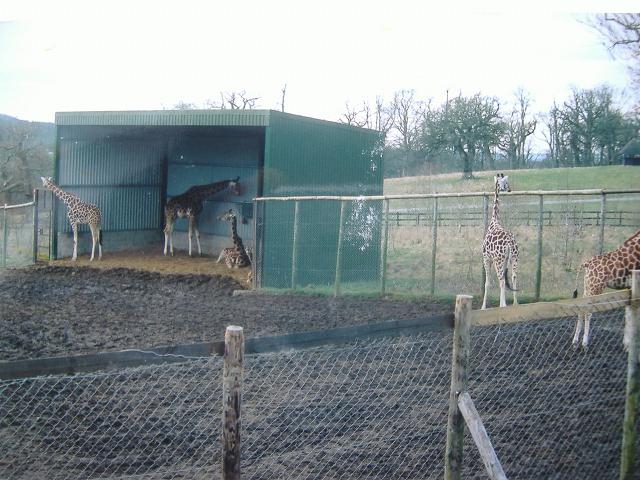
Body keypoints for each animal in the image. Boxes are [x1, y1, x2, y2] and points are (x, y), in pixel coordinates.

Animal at [481, 173, 519, 309]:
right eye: (506, 182)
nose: (509, 189)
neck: (493, 221)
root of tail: (509, 243)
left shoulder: (486, 258)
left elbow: (487, 283)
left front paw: (483, 307)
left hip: (498, 260)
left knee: (501, 280)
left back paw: (503, 305)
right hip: (514, 258)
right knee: (513, 276)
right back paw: (515, 303)